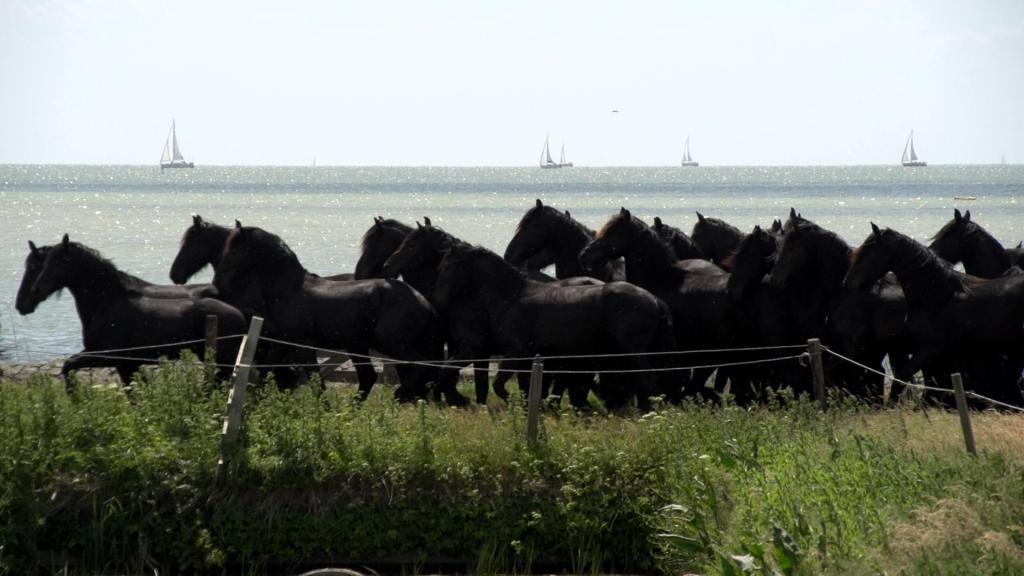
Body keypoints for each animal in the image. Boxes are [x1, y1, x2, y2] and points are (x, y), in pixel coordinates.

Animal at [18, 233, 246, 385]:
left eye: (63, 260)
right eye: (44, 263)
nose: (32, 294)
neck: (107, 304)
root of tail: (241, 317)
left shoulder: (111, 358)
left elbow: (69, 365)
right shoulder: (125, 363)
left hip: (224, 361)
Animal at [211, 223, 444, 399]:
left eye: (234, 251)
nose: (218, 283)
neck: (290, 290)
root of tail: (424, 302)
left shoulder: (303, 346)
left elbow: (317, 383)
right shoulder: (281, 343)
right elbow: (266, 371)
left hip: (389, 342)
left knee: (420, 365)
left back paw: (398, 396)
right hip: (359, 345)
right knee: (371, 377)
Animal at [432, 241, 679, 407]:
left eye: (447, 267)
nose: (439, 301)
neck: (512, 296)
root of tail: (654, 299)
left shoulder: (516, 353)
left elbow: (501, 386)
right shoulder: (524, 357)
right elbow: (523, 386)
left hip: (633, 351)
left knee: (646, 378)